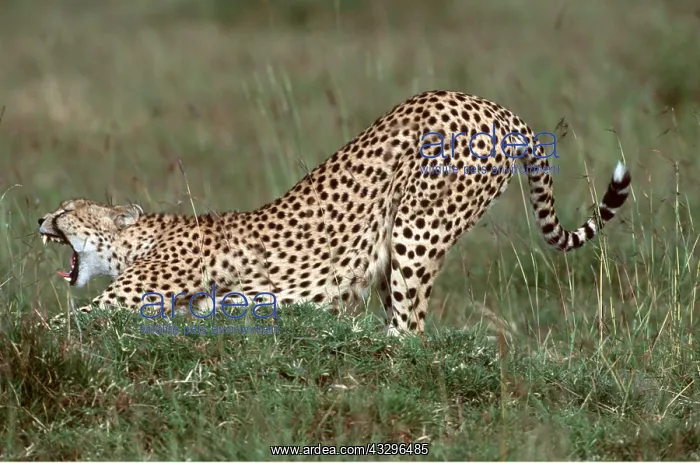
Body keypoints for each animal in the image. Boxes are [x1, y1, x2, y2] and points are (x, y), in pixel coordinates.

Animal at [38, 90, 631, 335]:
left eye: (67, 209)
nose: (40, 220)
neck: (140, 237)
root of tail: (494, 105)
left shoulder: (122, 304)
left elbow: (53, 324)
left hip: (418, 227)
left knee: (411, 328)